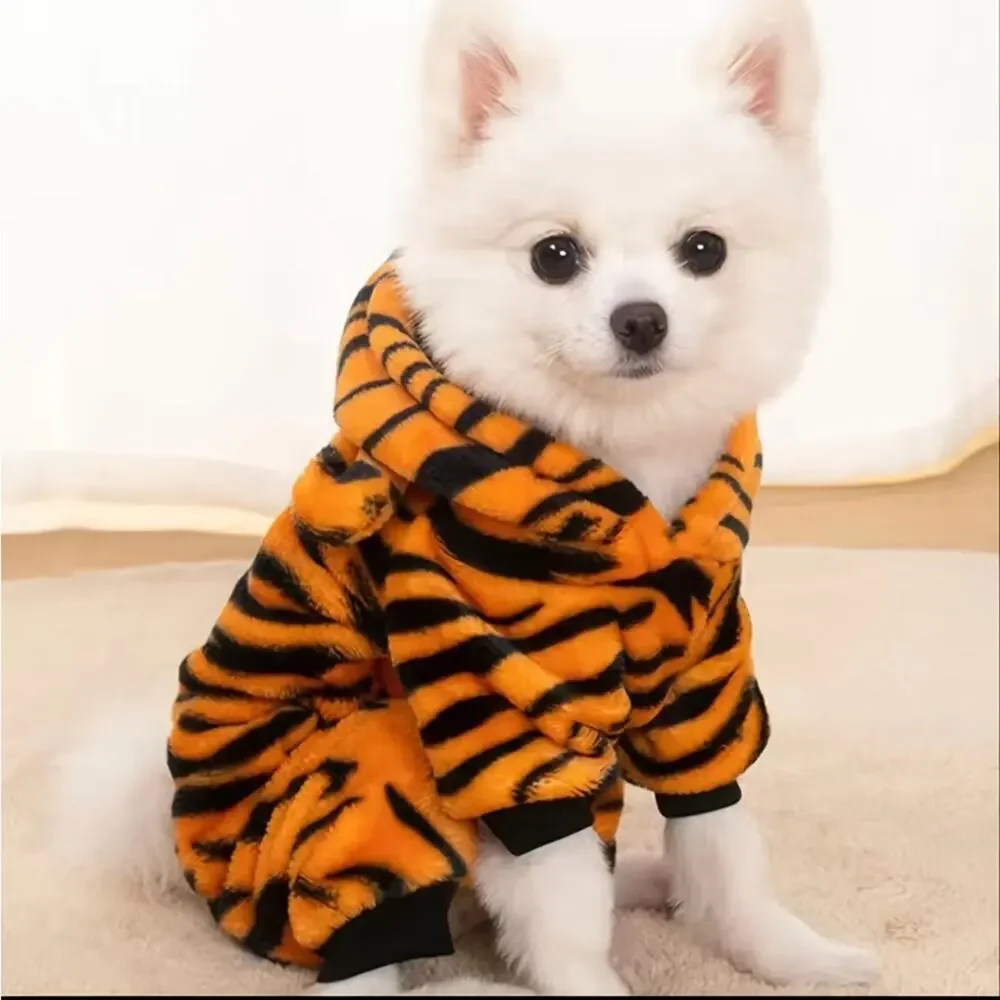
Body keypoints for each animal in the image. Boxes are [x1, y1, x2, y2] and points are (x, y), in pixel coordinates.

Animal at [168, 258, 767, 985]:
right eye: (554, 256)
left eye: (704, 250)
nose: (642, 319)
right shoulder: (497, 680)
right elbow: (557, 880)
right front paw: (586, 980)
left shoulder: (703, 671)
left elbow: (717, 831)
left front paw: (783, 950)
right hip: (341, 789)